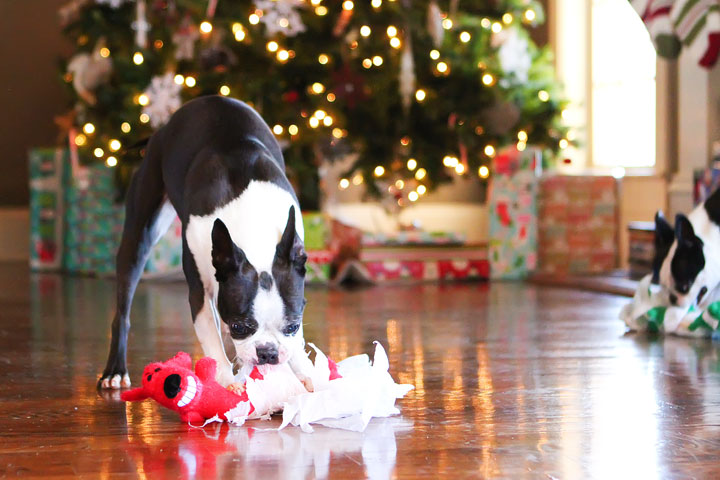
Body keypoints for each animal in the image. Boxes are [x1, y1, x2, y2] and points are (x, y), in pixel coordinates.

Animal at [99, 96, 310, 390]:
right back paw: (115, 371)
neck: (253, 227)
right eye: (240, 327)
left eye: (292, 326)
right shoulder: (199, 293)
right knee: (123, 310)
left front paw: (306, 371)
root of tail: (163, 128)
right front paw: (226, 383)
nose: (267, 353)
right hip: (138, 235)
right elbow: (213, 343)